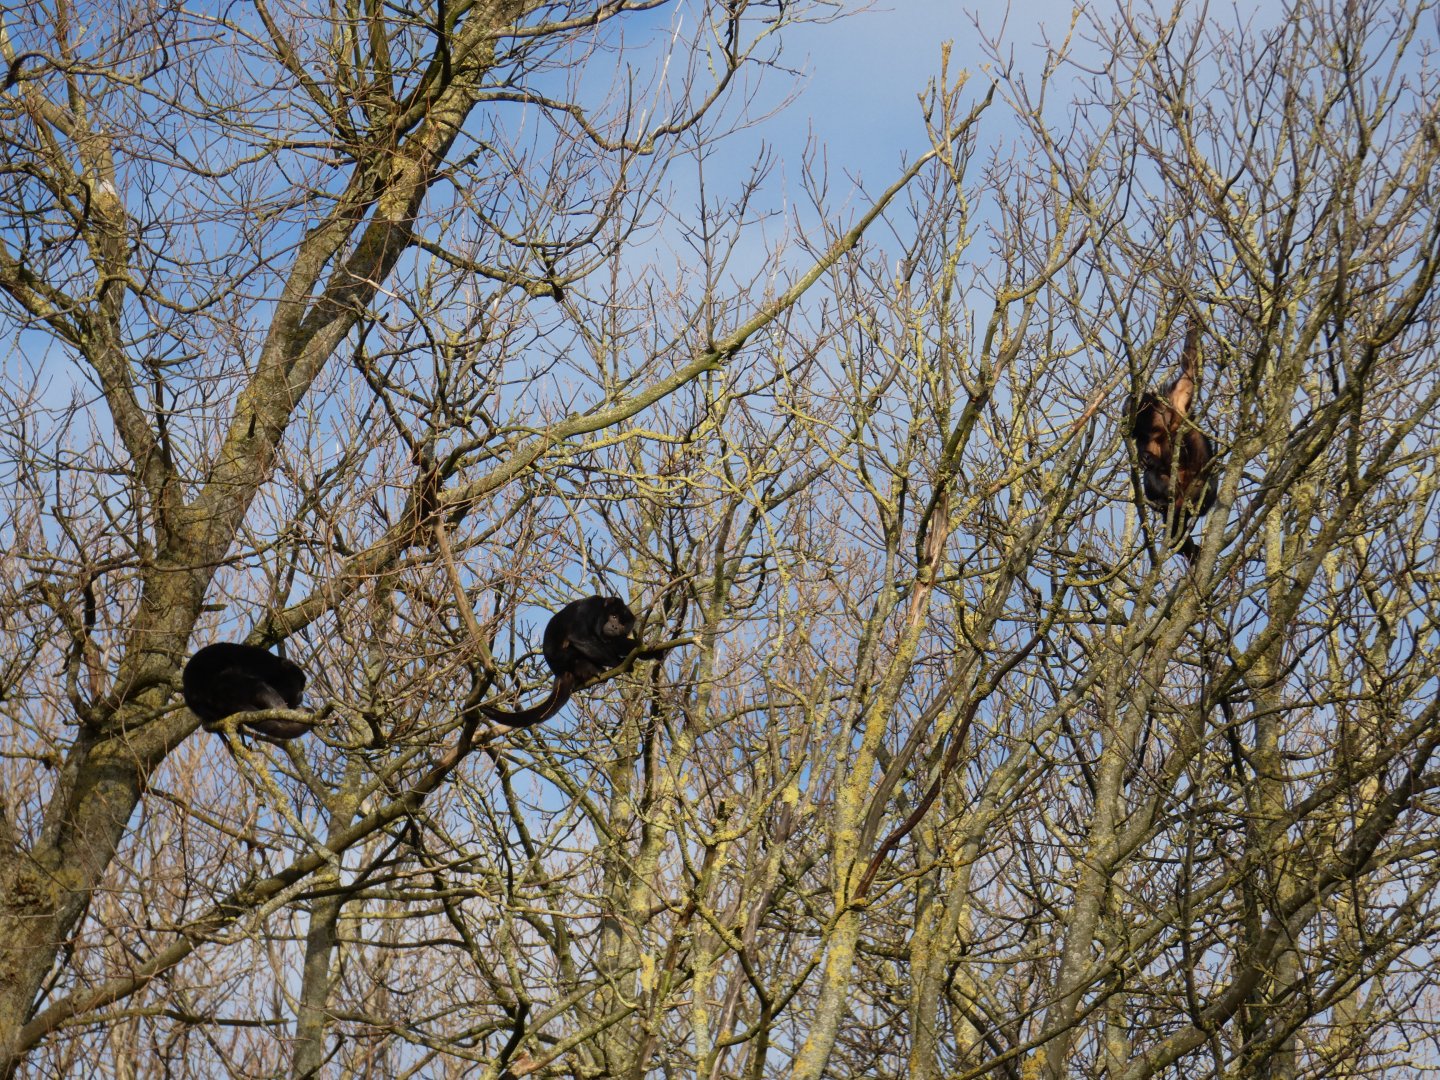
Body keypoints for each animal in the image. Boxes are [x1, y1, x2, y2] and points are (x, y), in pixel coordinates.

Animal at [482, 596, 667, 727]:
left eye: (622, 624)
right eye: (614, 616)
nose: (615, 627)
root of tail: (560, 673)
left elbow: (616, 643)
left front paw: (651, 649)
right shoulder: (589, 608)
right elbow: (579, 637)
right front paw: (620, 665)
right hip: (565, 660)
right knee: (573, 649)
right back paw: (594, 670)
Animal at [1130, 322, 1220, 561]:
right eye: (1137, 433)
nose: (1133, 434)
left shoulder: (1178, 397)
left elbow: (1191, 368)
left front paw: (1193, 323)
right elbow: (1151, 463)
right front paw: (1146, 459)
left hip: (1196, 489)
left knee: (1206, 486)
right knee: (1152, 475)